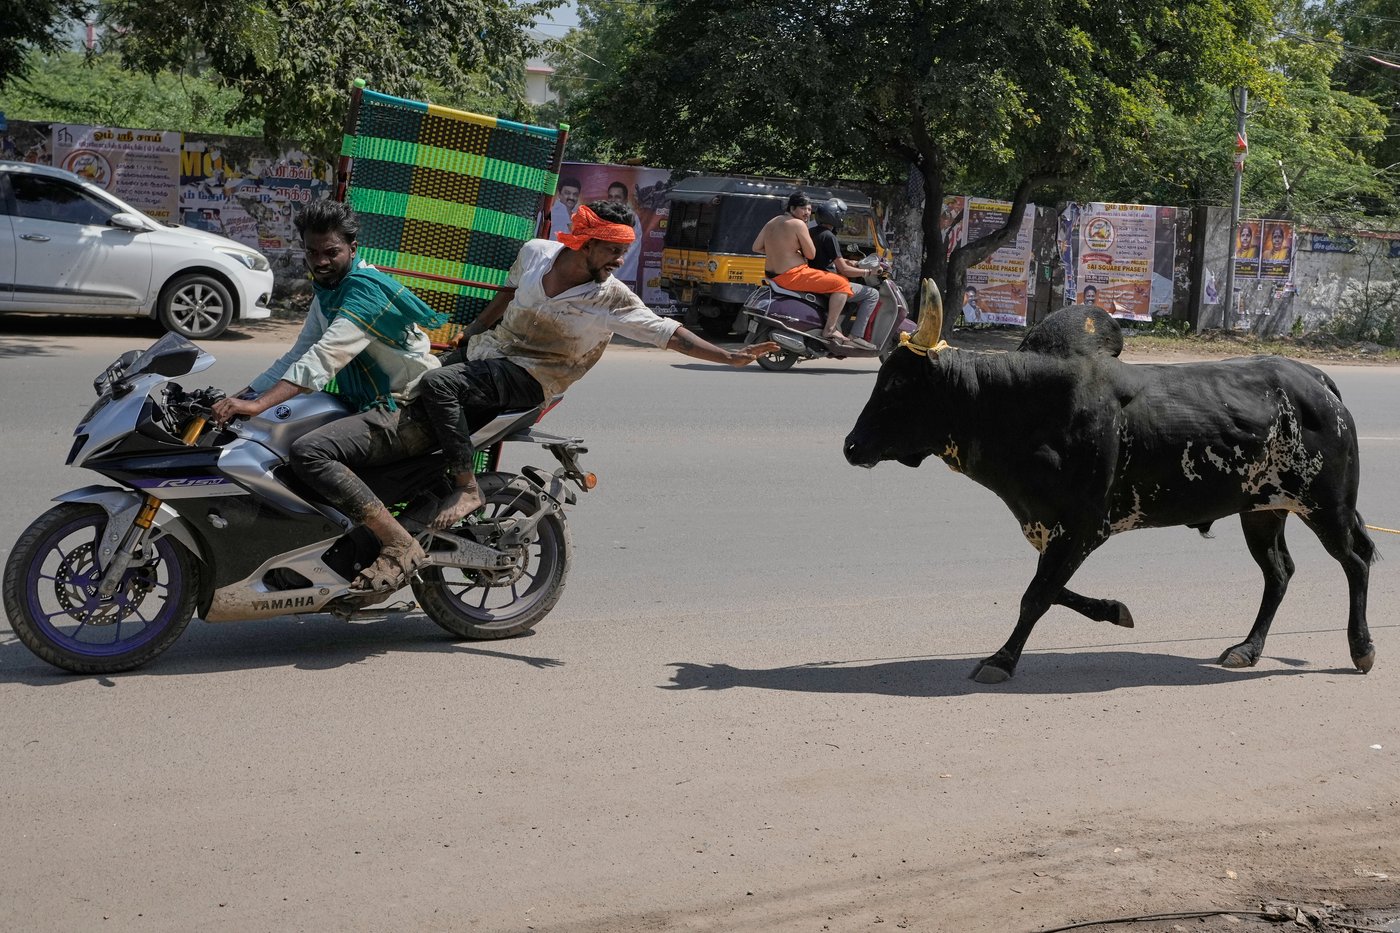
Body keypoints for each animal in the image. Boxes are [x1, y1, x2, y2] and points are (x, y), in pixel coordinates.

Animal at [843, 281, 1377, 683]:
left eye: (898, 386)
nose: (850, 446)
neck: (1017, 406)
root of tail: (1316, 380)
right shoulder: (1052, 528)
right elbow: (1050, 589)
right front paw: (1115, 610)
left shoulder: (1082, 526)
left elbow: (1036, 595)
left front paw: (1001, 660)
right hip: (1262, 511)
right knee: (1280, 573)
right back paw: (1247, 649)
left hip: (1325, 507)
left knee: (1355, 562)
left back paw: (1361, 649)